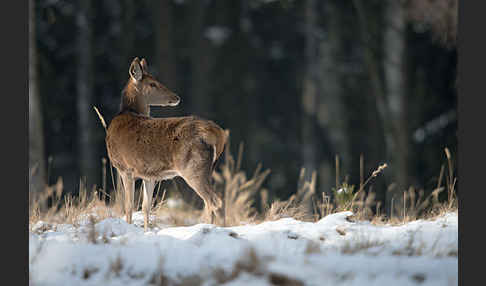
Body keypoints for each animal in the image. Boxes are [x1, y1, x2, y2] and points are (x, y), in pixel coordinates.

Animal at [106, 57, 228, 231]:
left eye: (156, 81)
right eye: (152, 84)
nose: (176, 97)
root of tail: (218, 134)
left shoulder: (124, 167)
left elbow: (128, 207)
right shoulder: (149, 174)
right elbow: (145, 207)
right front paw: (146, 231)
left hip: (192, 167)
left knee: (216, 202)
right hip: (209, 169)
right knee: (209, 203)